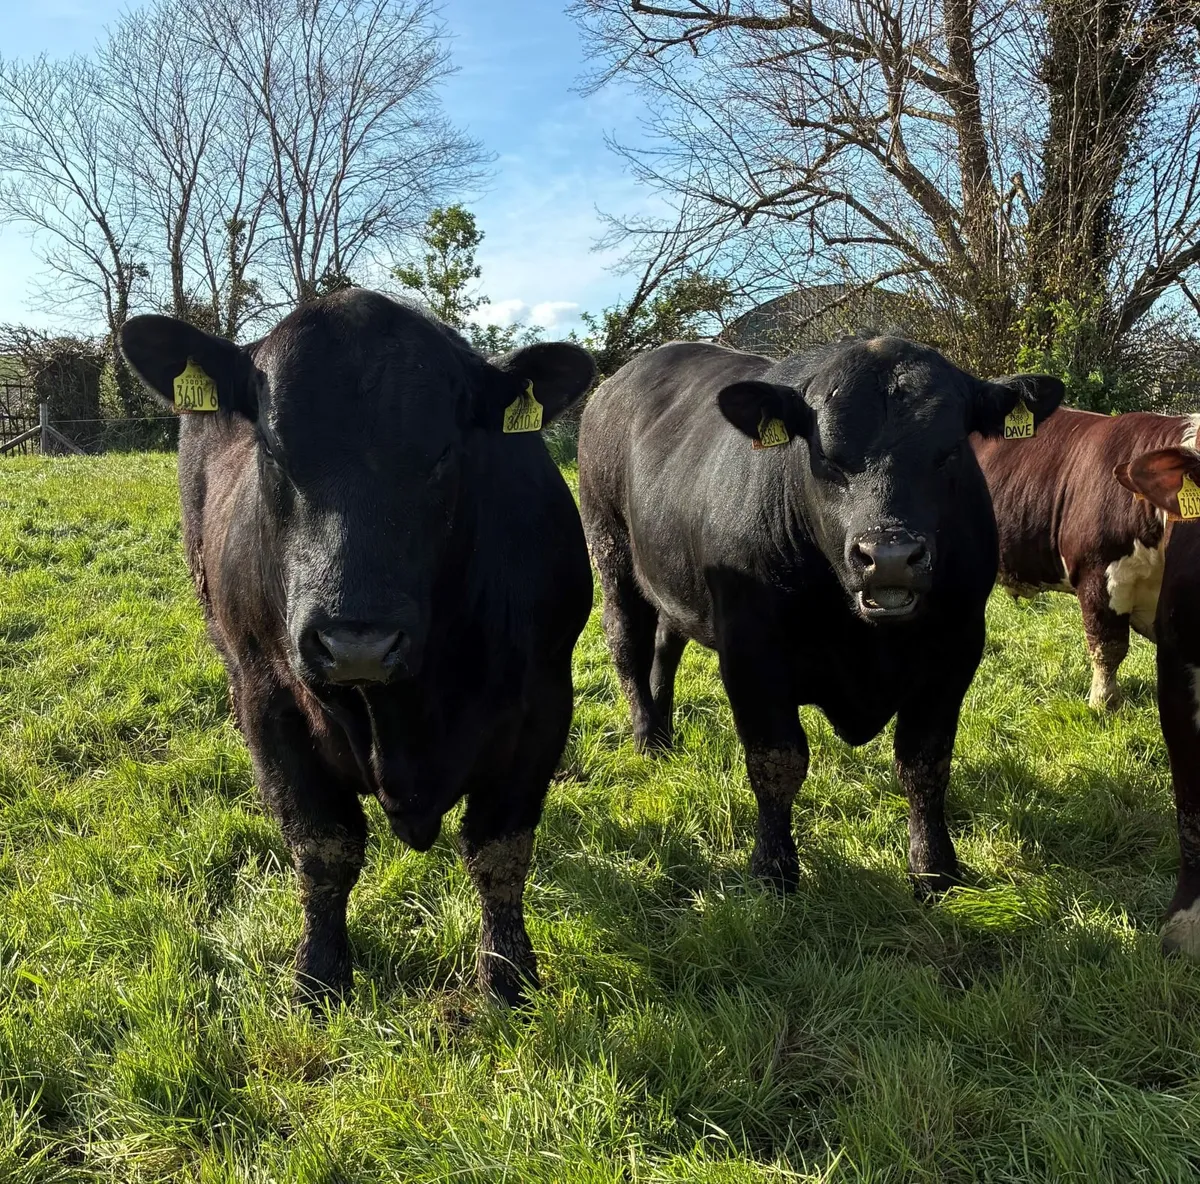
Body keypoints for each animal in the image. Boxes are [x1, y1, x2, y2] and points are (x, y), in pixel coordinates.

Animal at [120, 290, 595, 1008]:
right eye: (273, 448)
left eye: (443, 454)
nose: (356, 643)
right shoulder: (267, 704)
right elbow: (323, 848)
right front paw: (319, 972)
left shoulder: (542, 703)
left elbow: (499, 852)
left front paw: (508, 977)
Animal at [577, 336, 1063, 896]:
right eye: (826, 457)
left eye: (950, 452)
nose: (889, 556)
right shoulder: (750, 654)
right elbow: (776, 760)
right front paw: (773, 870)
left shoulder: (956, 649)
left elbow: (925, 763)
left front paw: (934, 868)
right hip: (610, 550)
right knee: (627, 643)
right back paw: (647, 736)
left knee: (666, 642)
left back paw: (665, 726)